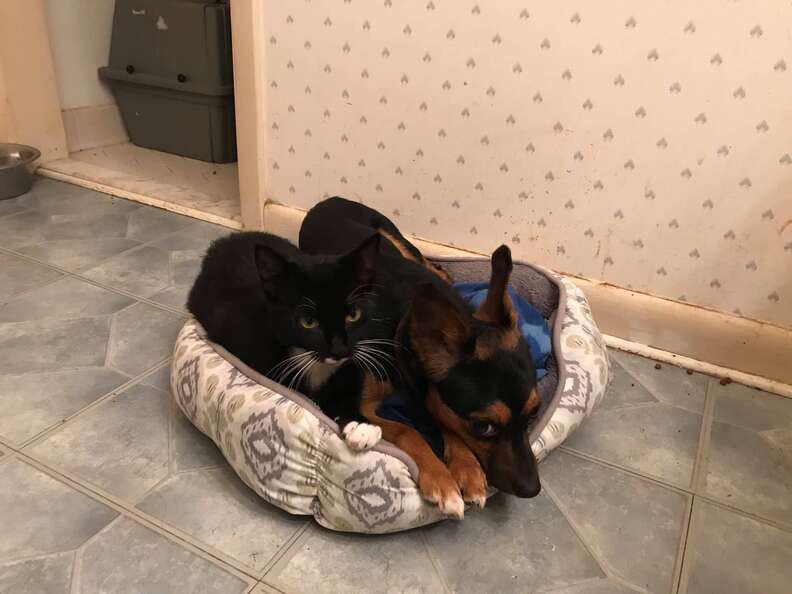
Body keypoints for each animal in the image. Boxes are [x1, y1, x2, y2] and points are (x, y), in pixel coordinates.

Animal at [186, 231, 396, 444]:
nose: (339, 350)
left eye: (353, 315)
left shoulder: (351, 363)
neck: (315, 365)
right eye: (308, 322)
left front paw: (361, 425)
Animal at [300, 198, 540, 512]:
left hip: (398, 241)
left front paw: (468, 469)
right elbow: (408, 431)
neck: (403, 323)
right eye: (483, 426)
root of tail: (330, 199)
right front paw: (441, 478)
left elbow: (446, 422)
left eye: (534, 412)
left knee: (432, 265)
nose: (533, 490)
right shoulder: (366, 408)